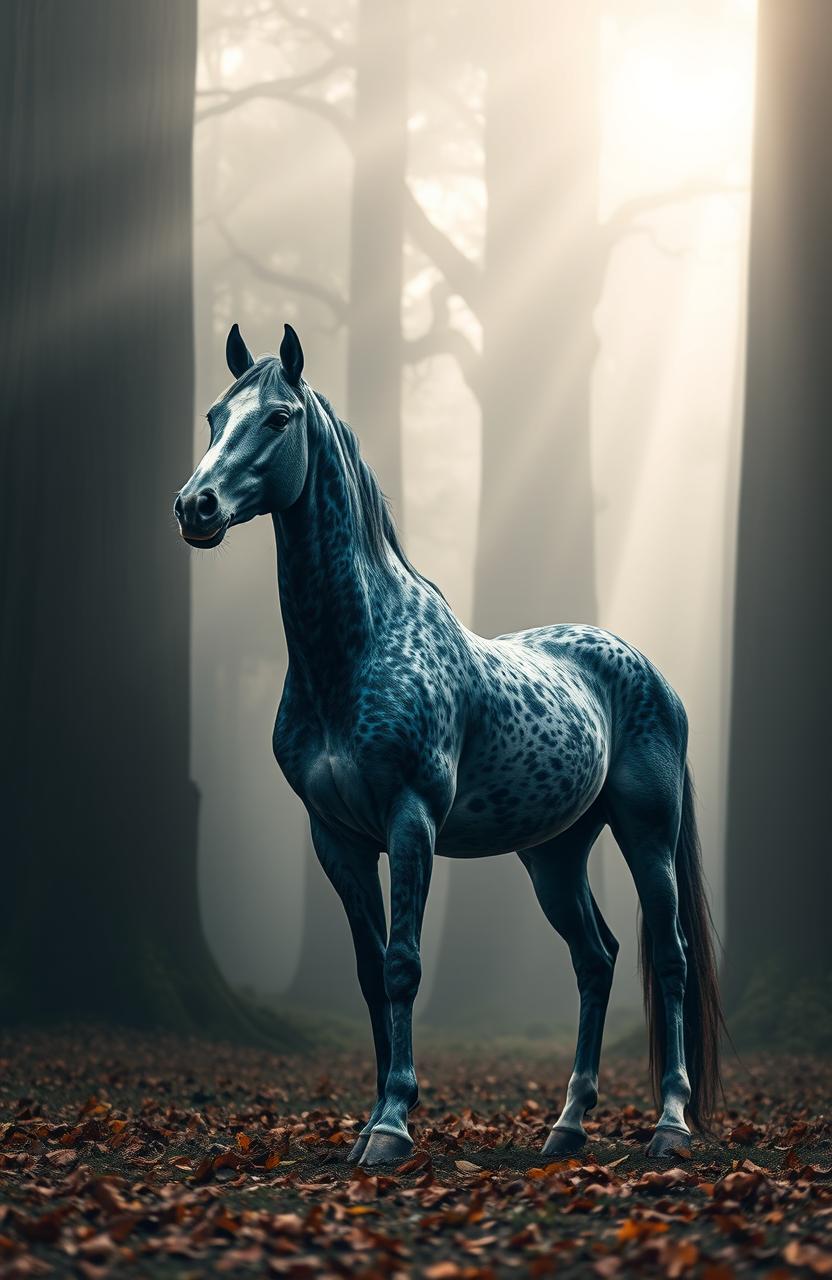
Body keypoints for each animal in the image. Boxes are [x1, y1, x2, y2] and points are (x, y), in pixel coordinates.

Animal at [174, 322, 723, 1167]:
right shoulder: (335, 837)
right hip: (553, 854)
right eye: (212, 415)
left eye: (278, 418)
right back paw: (566, 1125)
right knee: (594, 959)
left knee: (669, 957)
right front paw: (371, 1119)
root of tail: (649, 671)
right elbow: (370, 974)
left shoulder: (412, 820)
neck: (355, 650)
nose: (194, 507)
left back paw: (670, 1124)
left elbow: (403, 966)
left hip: (646, 832)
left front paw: (393, 1126)